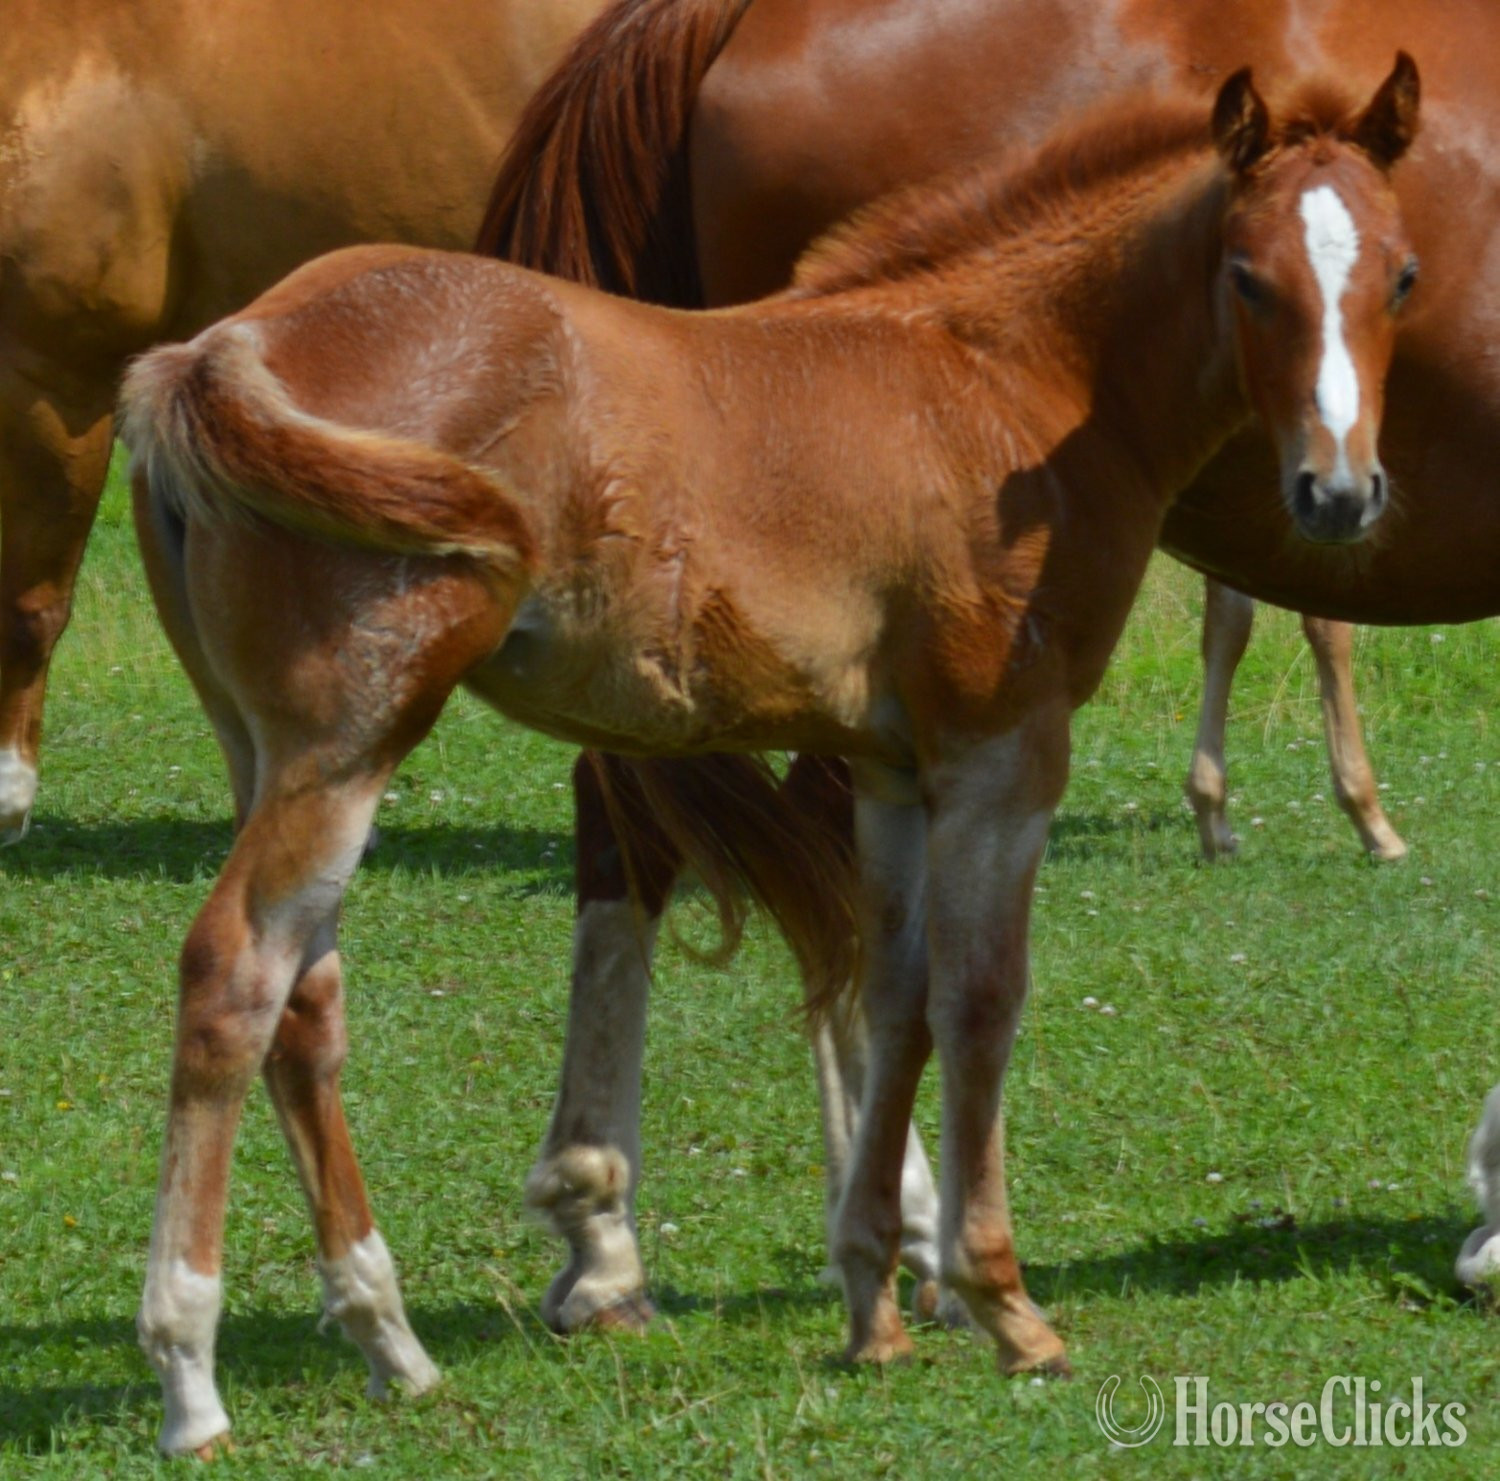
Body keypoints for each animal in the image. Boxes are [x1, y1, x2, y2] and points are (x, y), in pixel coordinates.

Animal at [121, 66, 1419, 1451]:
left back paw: (391, 1341)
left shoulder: (896, 770)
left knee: (305, 999)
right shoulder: (1003, 750)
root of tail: (220, 347)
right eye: (1247, 276)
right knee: (234, 976)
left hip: (261, 746)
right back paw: (191, 1374)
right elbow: (980, 998)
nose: (1340, 494)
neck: (1005, 381)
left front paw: (873, 1303)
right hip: (349, 738)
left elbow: (892, 990)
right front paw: (1004, 1304)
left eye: (1399, 275)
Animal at [479, 0, 1500, 1322]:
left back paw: (609, 1234)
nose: (1343, 490)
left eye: (1409, 277)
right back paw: (900, 1220)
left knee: (638, 824)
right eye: (1246, 280)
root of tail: (717, 17)